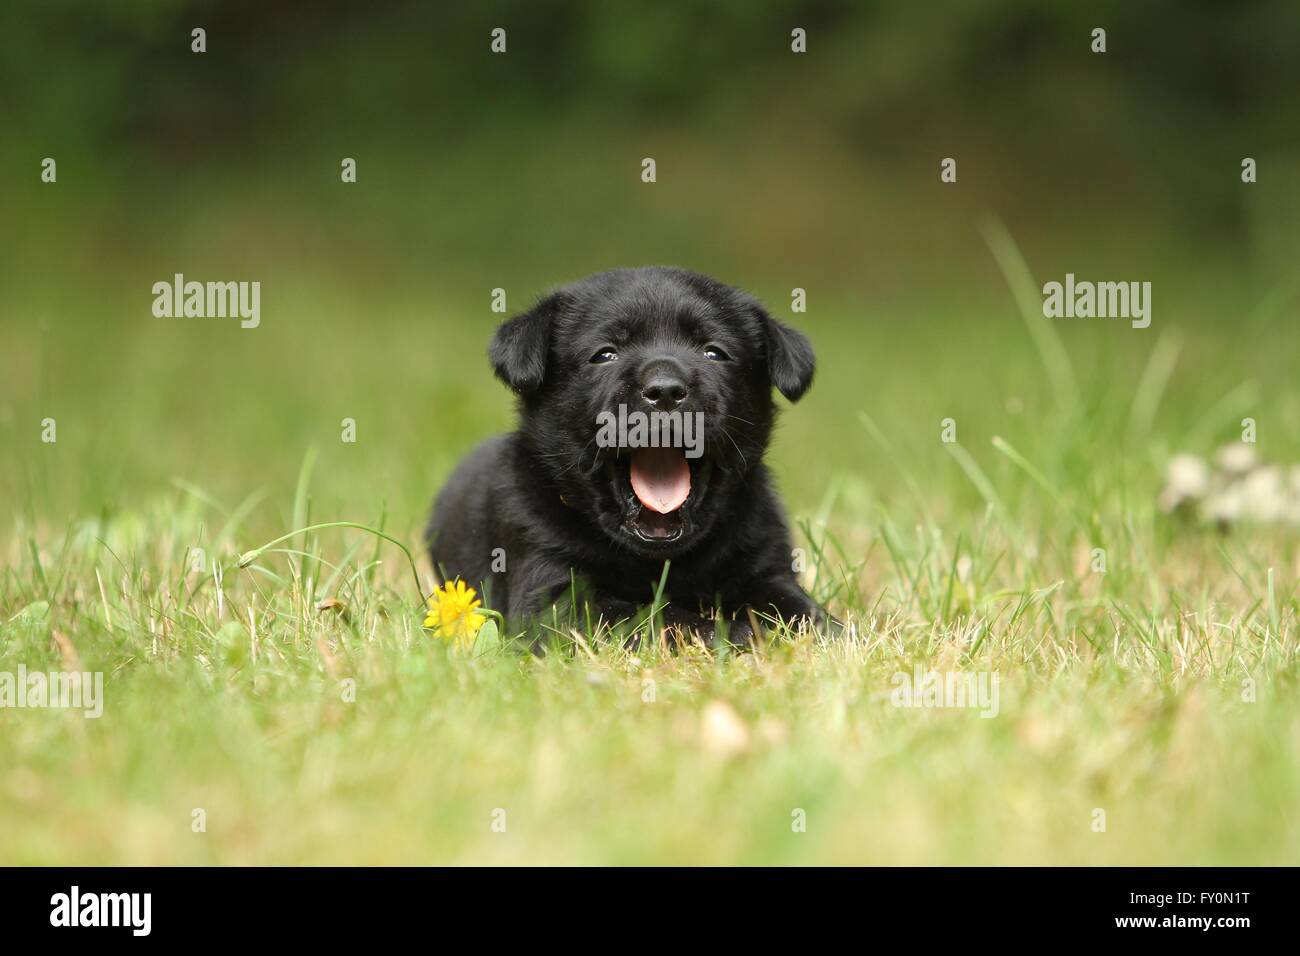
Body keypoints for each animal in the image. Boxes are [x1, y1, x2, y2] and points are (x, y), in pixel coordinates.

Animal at [431, 267, 826, 642]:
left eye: (714, 352)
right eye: (605, 354)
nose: (665, 390)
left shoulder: (764, 564)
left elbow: (799, 609)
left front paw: (826, 632)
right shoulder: (552, 591)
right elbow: (648, 615)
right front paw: (722, 632)